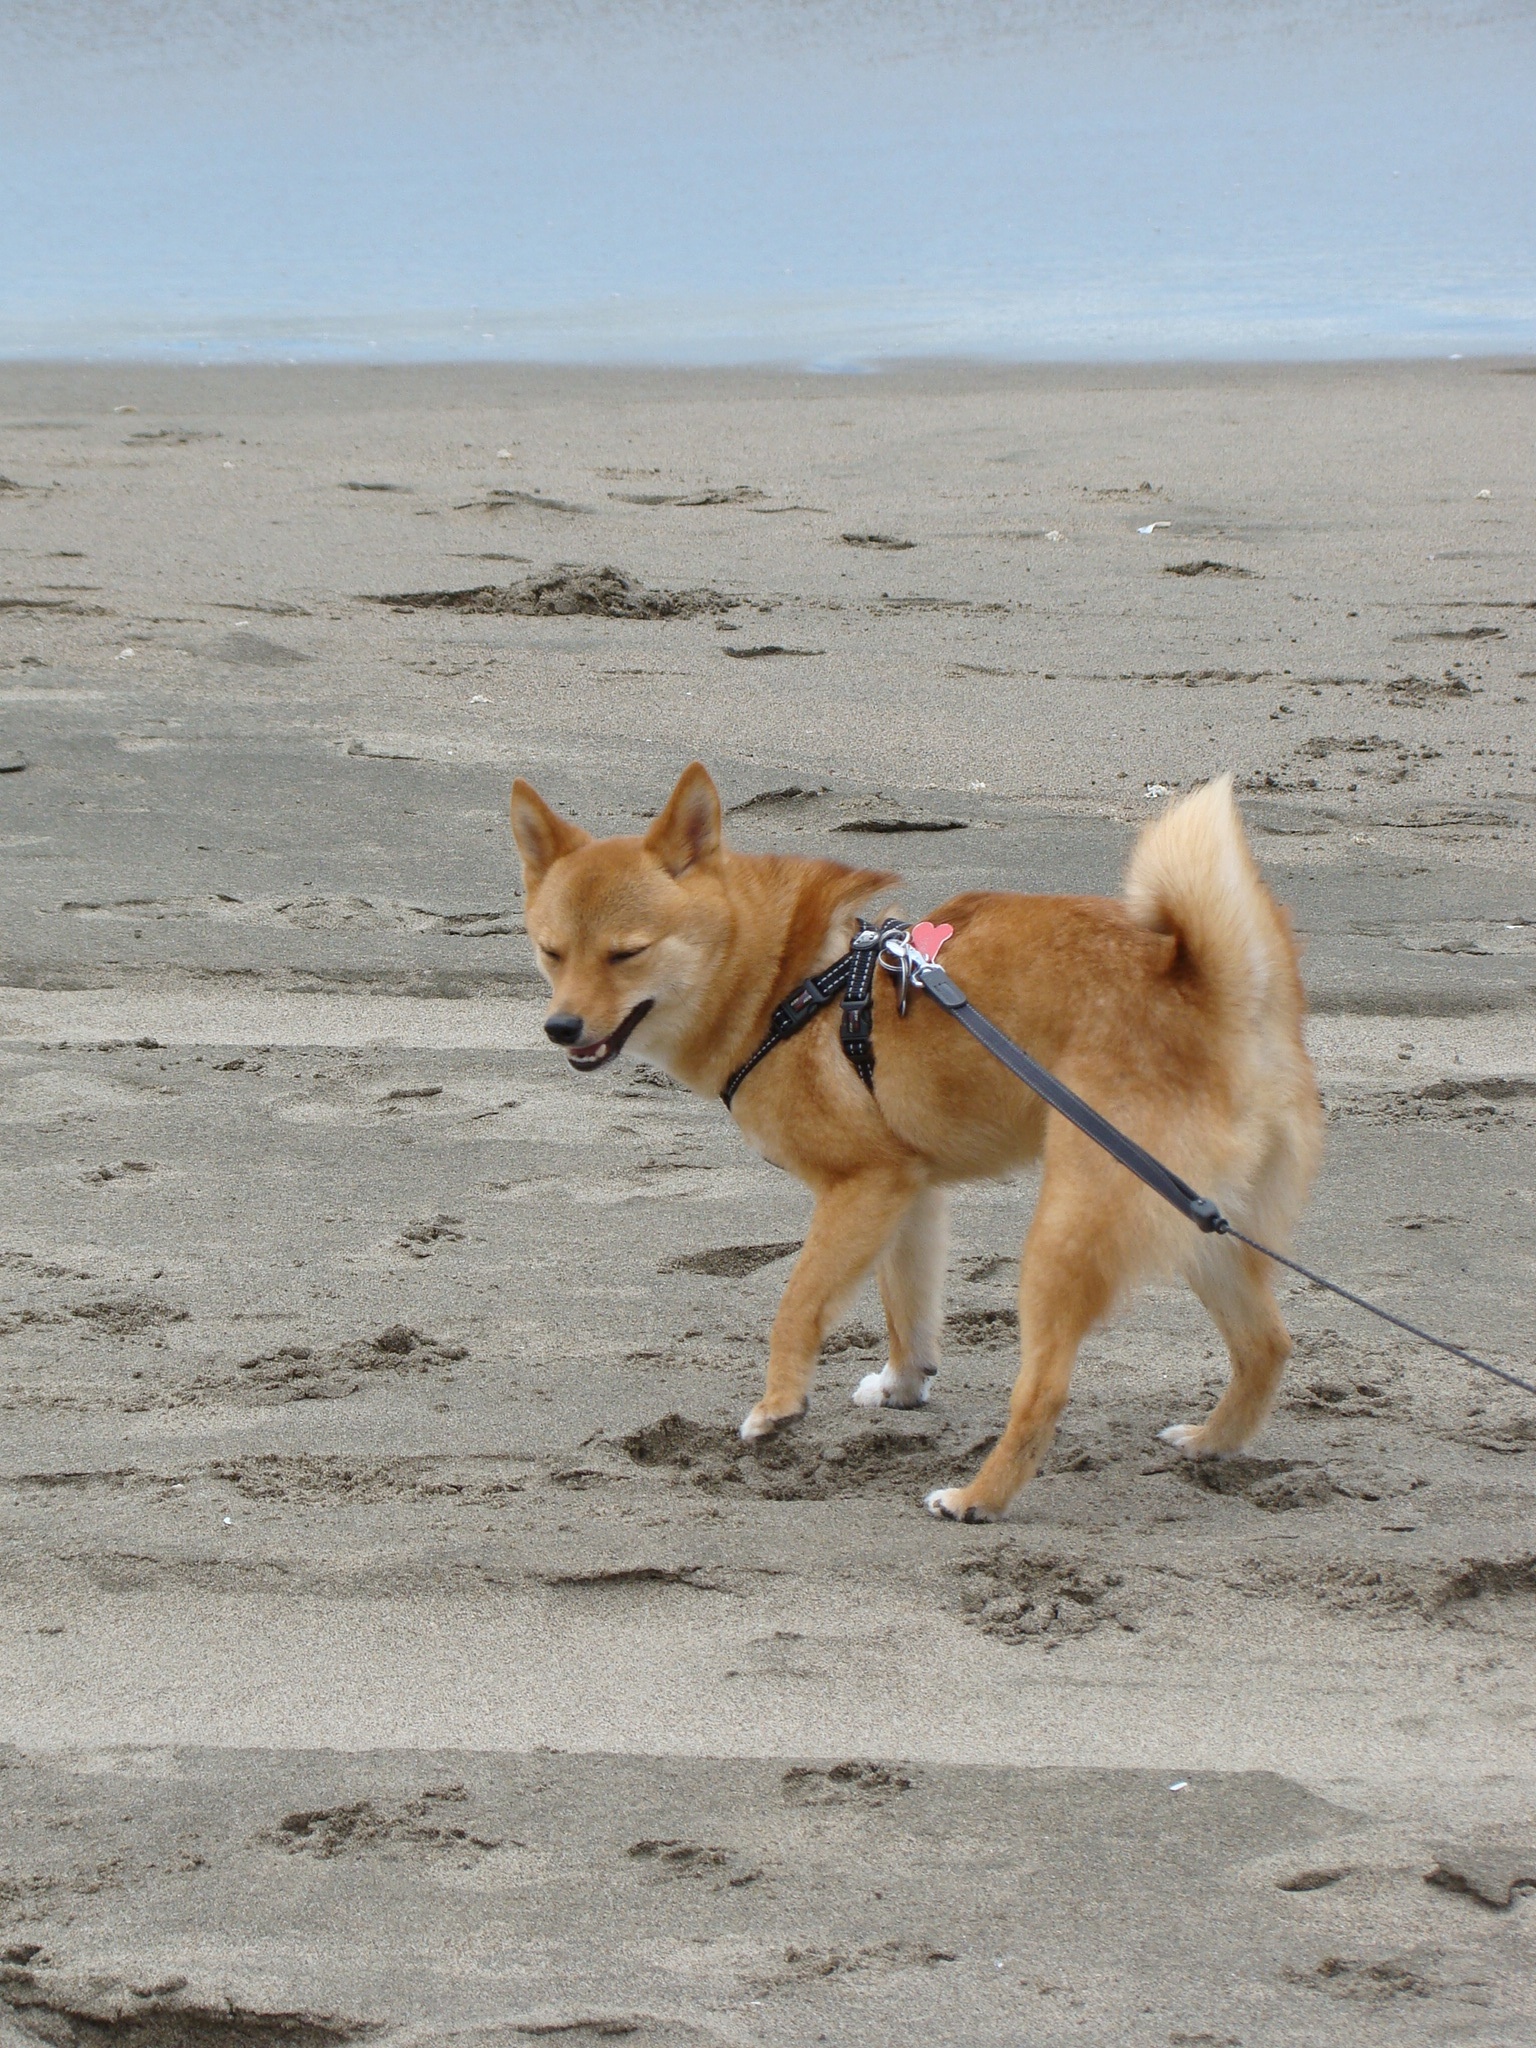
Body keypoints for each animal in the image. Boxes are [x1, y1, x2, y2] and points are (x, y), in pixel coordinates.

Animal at [512, 770, 1327, 1523]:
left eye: (626, 954)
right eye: (551, 952)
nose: (560, 1027)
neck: (784, 979)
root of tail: (1215, 993)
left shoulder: (861, 1185)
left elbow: (797, 1304)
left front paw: (778, 1407)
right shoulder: (908, 1190)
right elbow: (905, 1306)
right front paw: (904, 1388)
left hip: (1067, 1237)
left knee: (1044, 1390)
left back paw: (978, 1498)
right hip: (1202, 1226)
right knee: (1267, 1345)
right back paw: (1212, 1443)